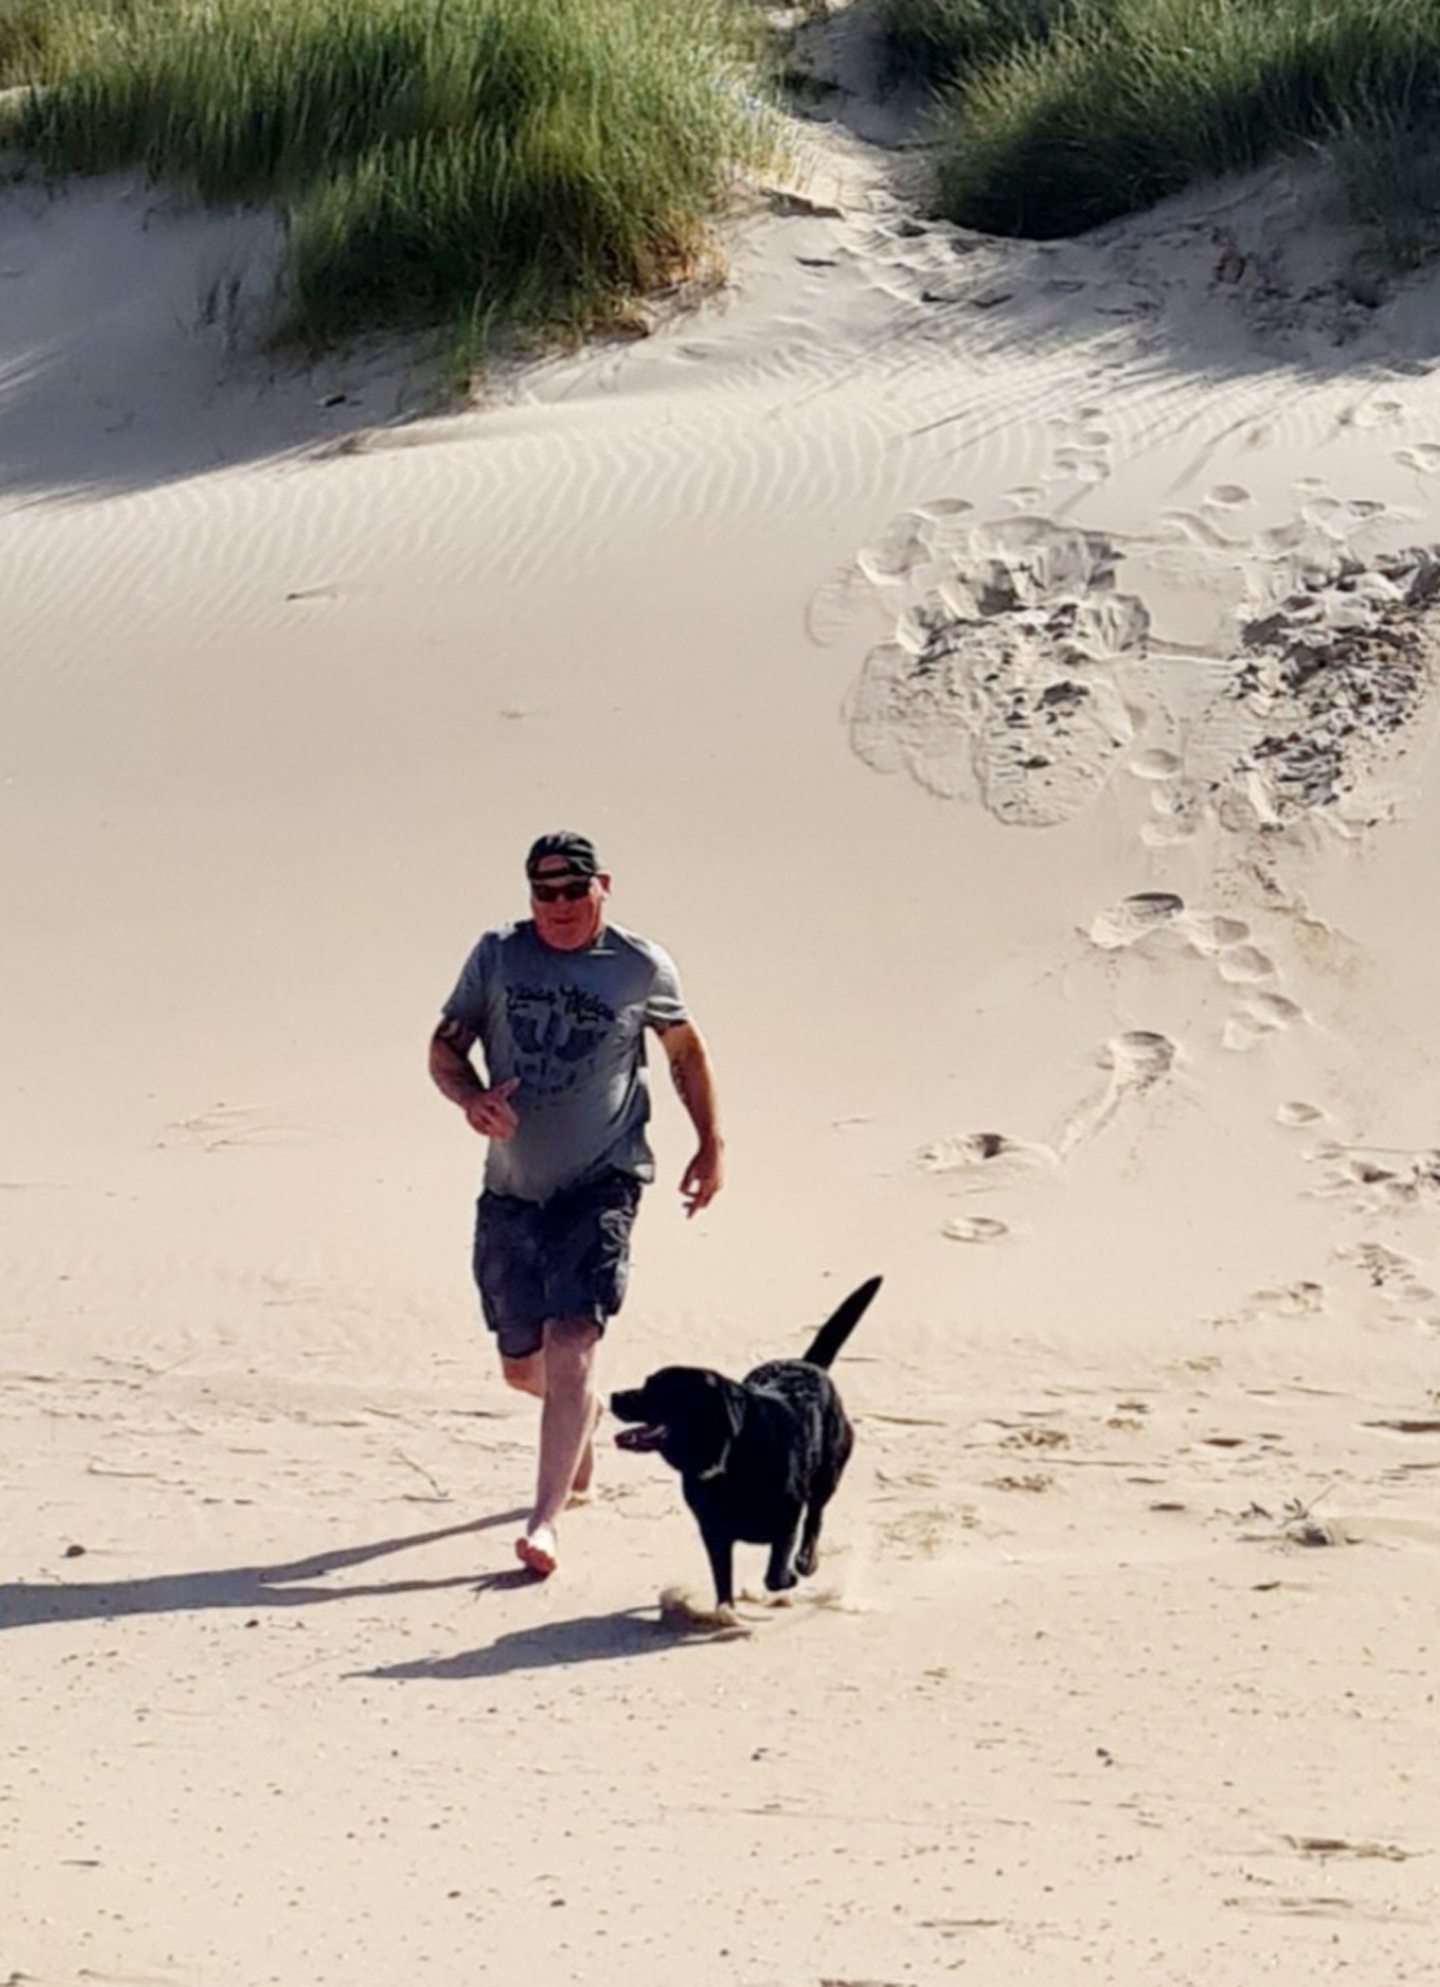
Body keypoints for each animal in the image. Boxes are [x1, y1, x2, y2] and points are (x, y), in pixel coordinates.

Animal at [607, 1271, 877, 1613]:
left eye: (655, 1388)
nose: (614, 1396)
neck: (729, 1456)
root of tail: (811, 1365)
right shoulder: (713, 1532)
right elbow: (722, 1578)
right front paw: (726, 1612)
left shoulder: (786, 1518)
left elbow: (775, 1574)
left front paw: (789, 1577)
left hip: (829, 1469)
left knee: (816, 1514)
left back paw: (806, 1560)